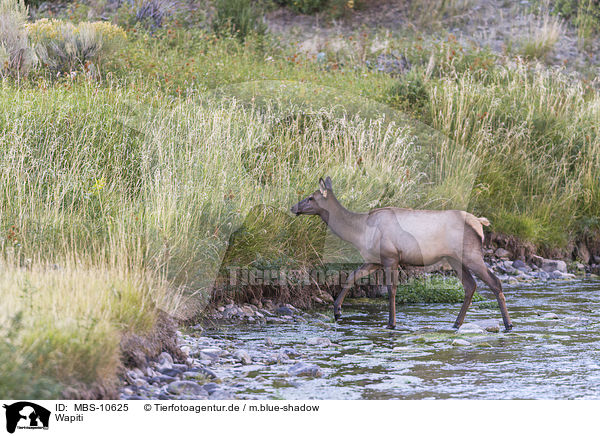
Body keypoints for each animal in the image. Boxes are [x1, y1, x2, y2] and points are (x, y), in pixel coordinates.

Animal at [290, 176, 510, 330]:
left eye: (310, 197)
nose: (293, 207)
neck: (359, 232)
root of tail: (479, 223)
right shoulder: (374, 260)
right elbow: (351, 276)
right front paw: (337, 311)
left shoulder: (390, 256)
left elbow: (391, 289)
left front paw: (391, 323)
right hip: (454, 258)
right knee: (470, 285)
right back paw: (456, 323)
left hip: (471, 253)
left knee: (494, 282)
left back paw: (508, 324)